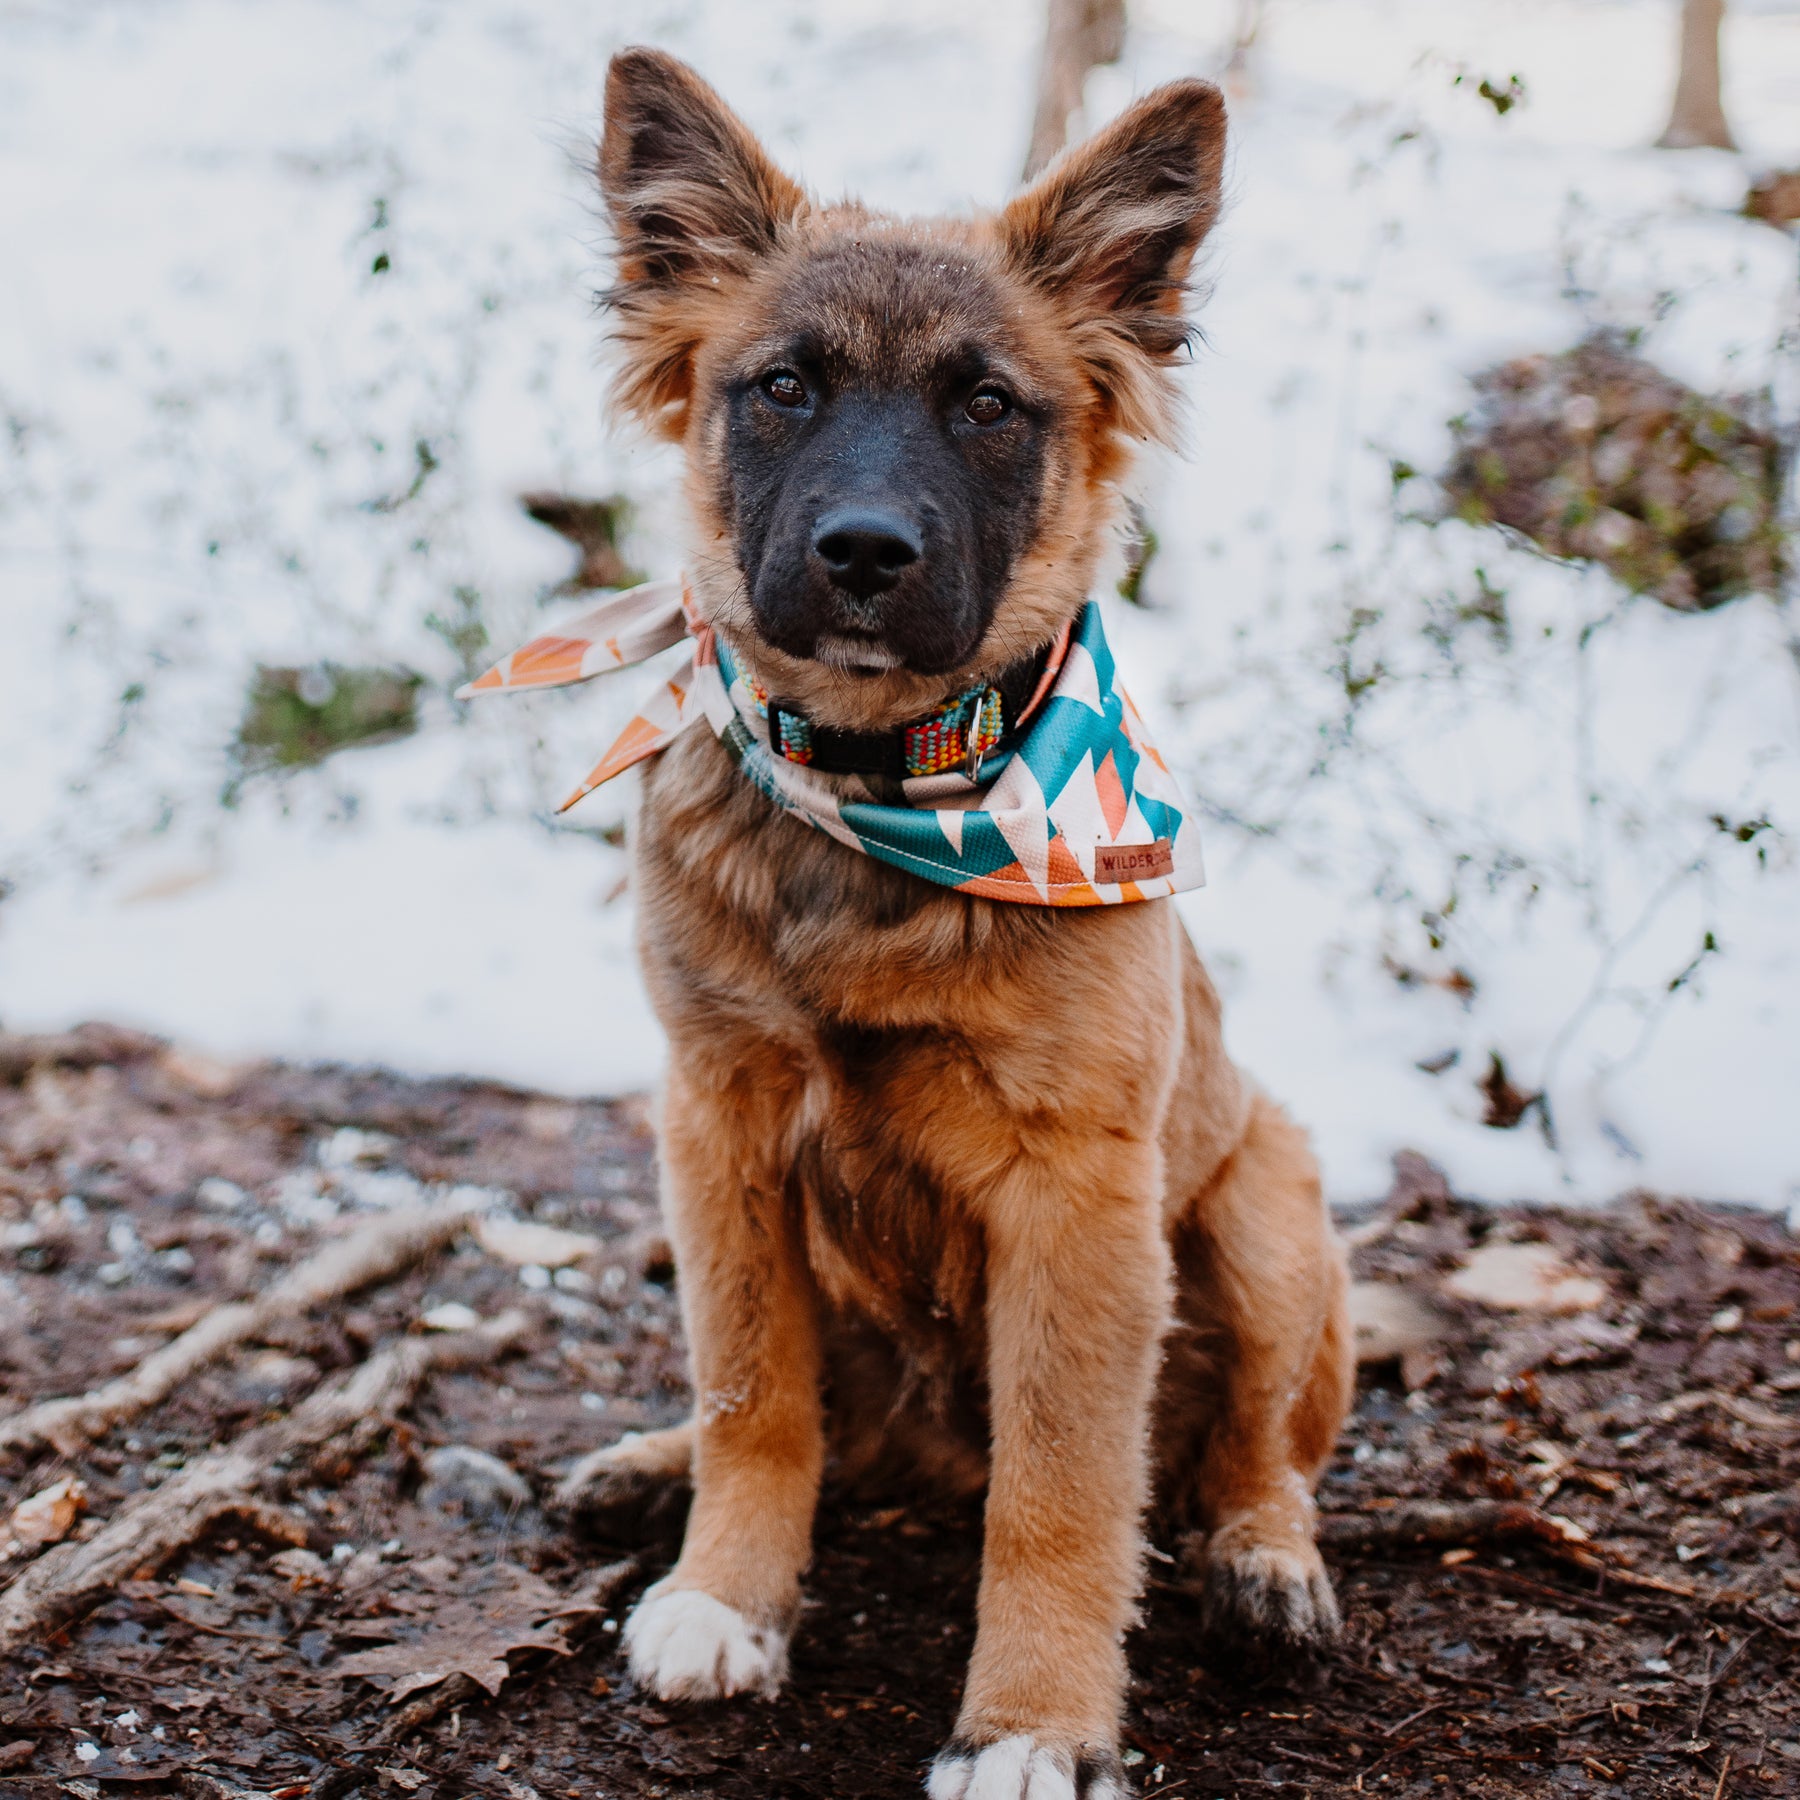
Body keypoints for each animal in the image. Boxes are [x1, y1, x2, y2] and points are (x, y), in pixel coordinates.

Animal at [565, 49, 1353, 1792]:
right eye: (782, 388)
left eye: (989, 406)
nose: (864, 555)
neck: (882, 793)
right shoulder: (716, 1123)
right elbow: (753, 1395)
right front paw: (726, 1593)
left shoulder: (1077, 1193)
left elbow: (1062, 1492)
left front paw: (1036, 1723)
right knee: (816, 1421)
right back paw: (647, 1466)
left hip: (1270, 1203)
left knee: (1258, 1448)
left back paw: (1265, 1562)